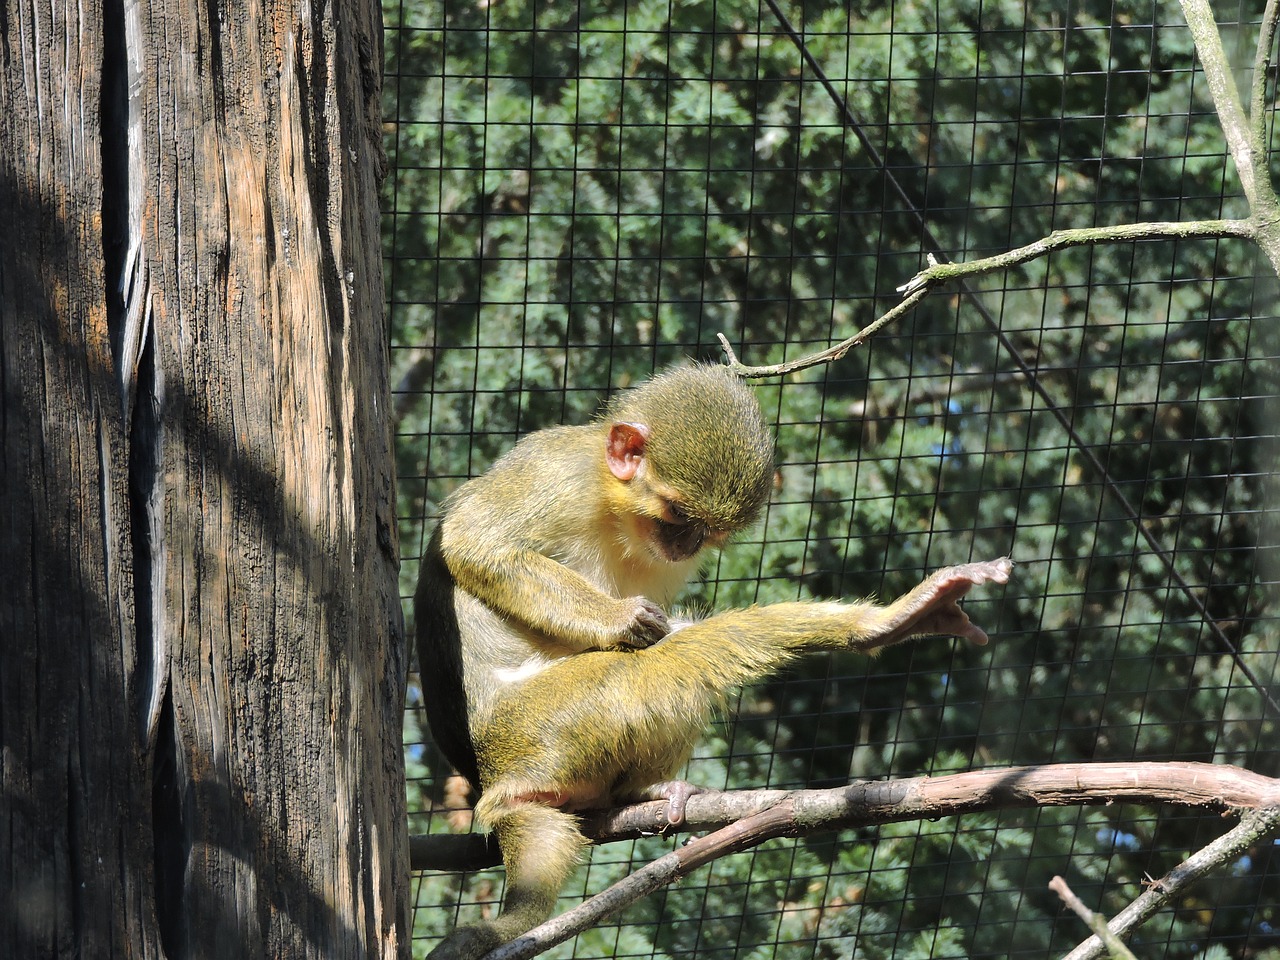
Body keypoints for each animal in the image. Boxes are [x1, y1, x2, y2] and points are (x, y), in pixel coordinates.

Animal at [414, 363, 1013, 960]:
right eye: (677, 515)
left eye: (708, 532)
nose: (685, 544)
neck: (612, 506)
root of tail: (496, 780)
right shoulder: (555, 469)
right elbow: (473, 544)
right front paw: (620, 620)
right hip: (546, 721)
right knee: (666, 663)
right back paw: (879, 625)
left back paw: (635, 793)